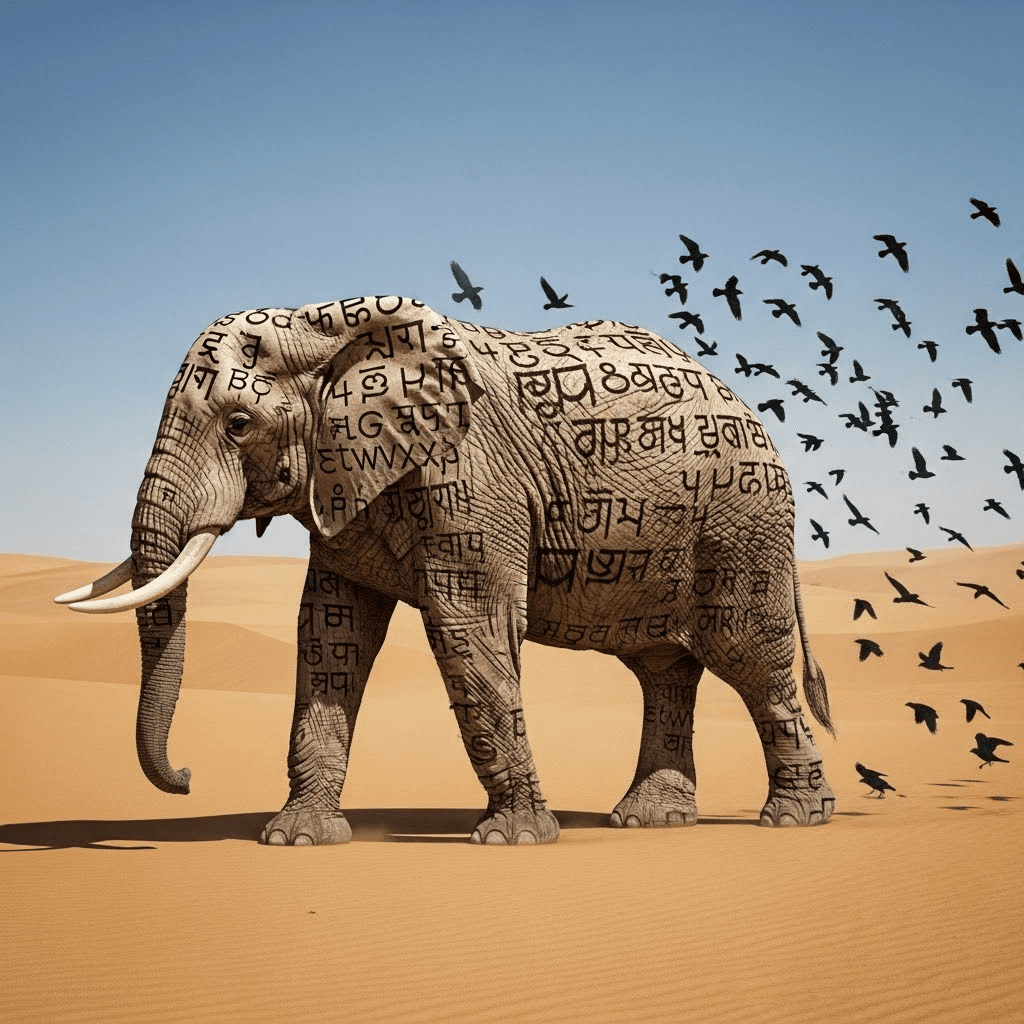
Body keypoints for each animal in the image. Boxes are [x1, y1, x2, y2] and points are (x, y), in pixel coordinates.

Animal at [56, 295, 836, 845]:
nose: (188, 777)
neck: (327, 327)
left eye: (239, 423)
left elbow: (469, 623)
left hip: (742, 520)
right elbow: (331, 636)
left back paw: (795, 820)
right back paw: (650, 821)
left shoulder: (468, 473)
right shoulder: (349, 481)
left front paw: (513, 840)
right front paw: (298, 838)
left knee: (748, 655)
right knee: (664, 668)